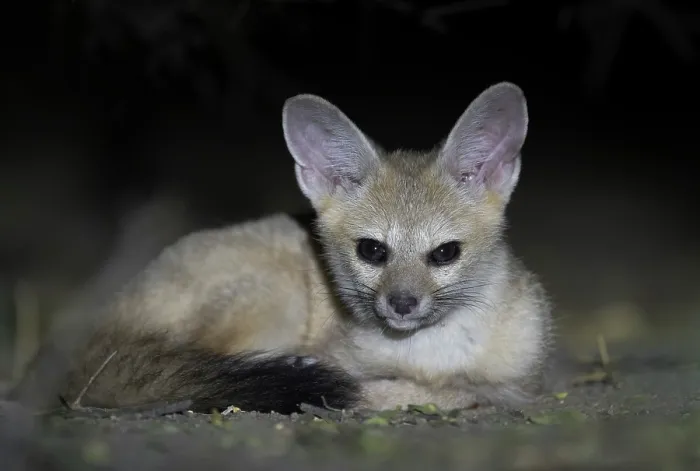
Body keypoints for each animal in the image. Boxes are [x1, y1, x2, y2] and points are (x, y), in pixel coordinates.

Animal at [13, 82, 553, 414]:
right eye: (372, 251)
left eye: (444, 254)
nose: (402, 304)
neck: (429, 356)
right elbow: (414, 392)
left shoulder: (520, 379)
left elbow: (475, 391)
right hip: (276, 295)